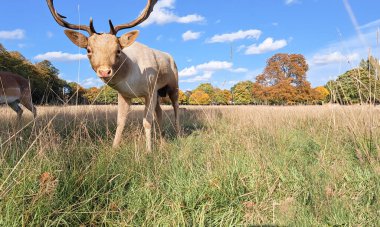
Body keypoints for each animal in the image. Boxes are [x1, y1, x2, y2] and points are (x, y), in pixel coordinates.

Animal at [46, 0, 180, 153]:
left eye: (118, 50)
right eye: (88, 50)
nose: (104, 71)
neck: (132, 75)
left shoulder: (150, 89)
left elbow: (147, 122)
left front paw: (149, 151)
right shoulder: (124, 94)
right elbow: (120, 122)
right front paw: (114, 149)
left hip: (173, 85)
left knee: (176, 107)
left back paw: (178, 135)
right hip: (158, 93)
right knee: (159, 112)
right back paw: (163, 142)